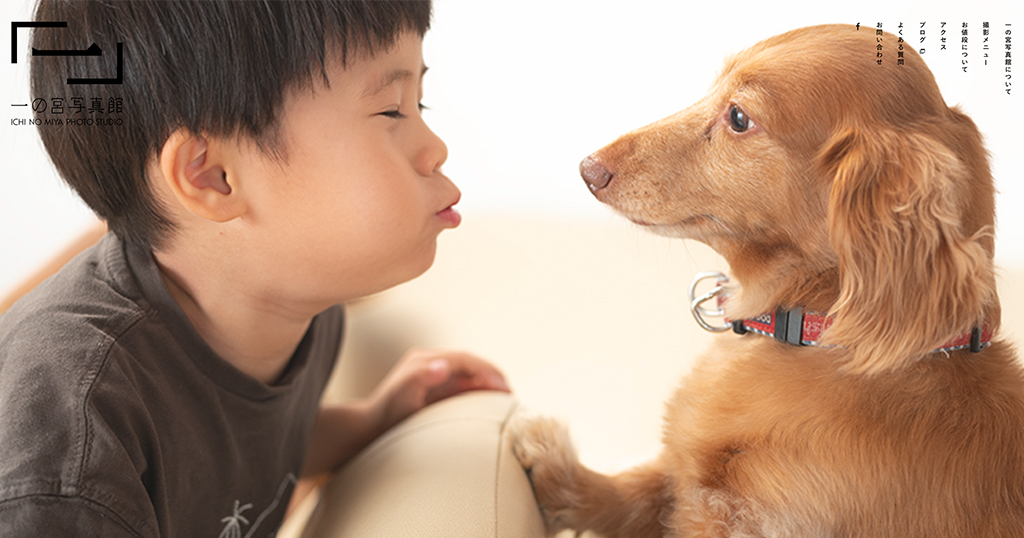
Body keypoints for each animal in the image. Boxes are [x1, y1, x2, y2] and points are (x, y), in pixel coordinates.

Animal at [516, 23, 1024, 532]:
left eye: (739, 117)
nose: (588, 169)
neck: (813, 333)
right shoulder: (683, 484)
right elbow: (636, 490)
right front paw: (559, 471)